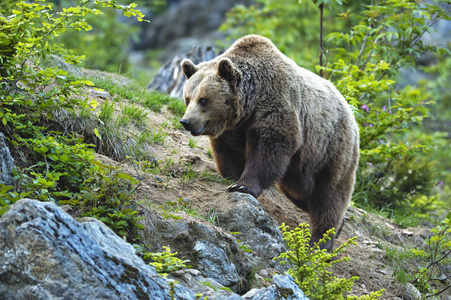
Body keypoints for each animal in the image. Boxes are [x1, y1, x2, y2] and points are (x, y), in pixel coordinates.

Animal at [180, 34, 360, 251]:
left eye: (203, 99)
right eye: (187, 98)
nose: (186, 121)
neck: (249, 103)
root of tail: (351, 111)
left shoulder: (276, 104)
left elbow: (269, 148)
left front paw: (242, 185)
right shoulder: (232, 130)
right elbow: (227, 155)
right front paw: (231, 177)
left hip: (332, 147)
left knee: (329, 195)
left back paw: (321, 239)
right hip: (302, 167)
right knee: (302, 193)